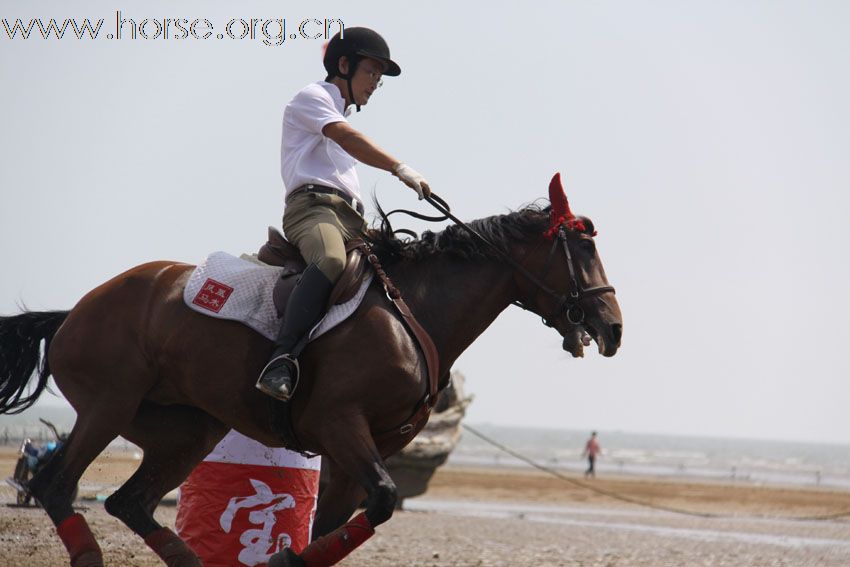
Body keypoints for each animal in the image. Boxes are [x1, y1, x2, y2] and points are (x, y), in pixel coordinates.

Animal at [0, 174, 620, 567]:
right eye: (583, 252)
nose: (613, 329)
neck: (414, 311)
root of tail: (75, 309)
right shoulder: (338, 425)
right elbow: (381, 501)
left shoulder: (361, 451)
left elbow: (340, 525)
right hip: (109, 407)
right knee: (57, 485)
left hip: (188, 429)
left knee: (129, 502)